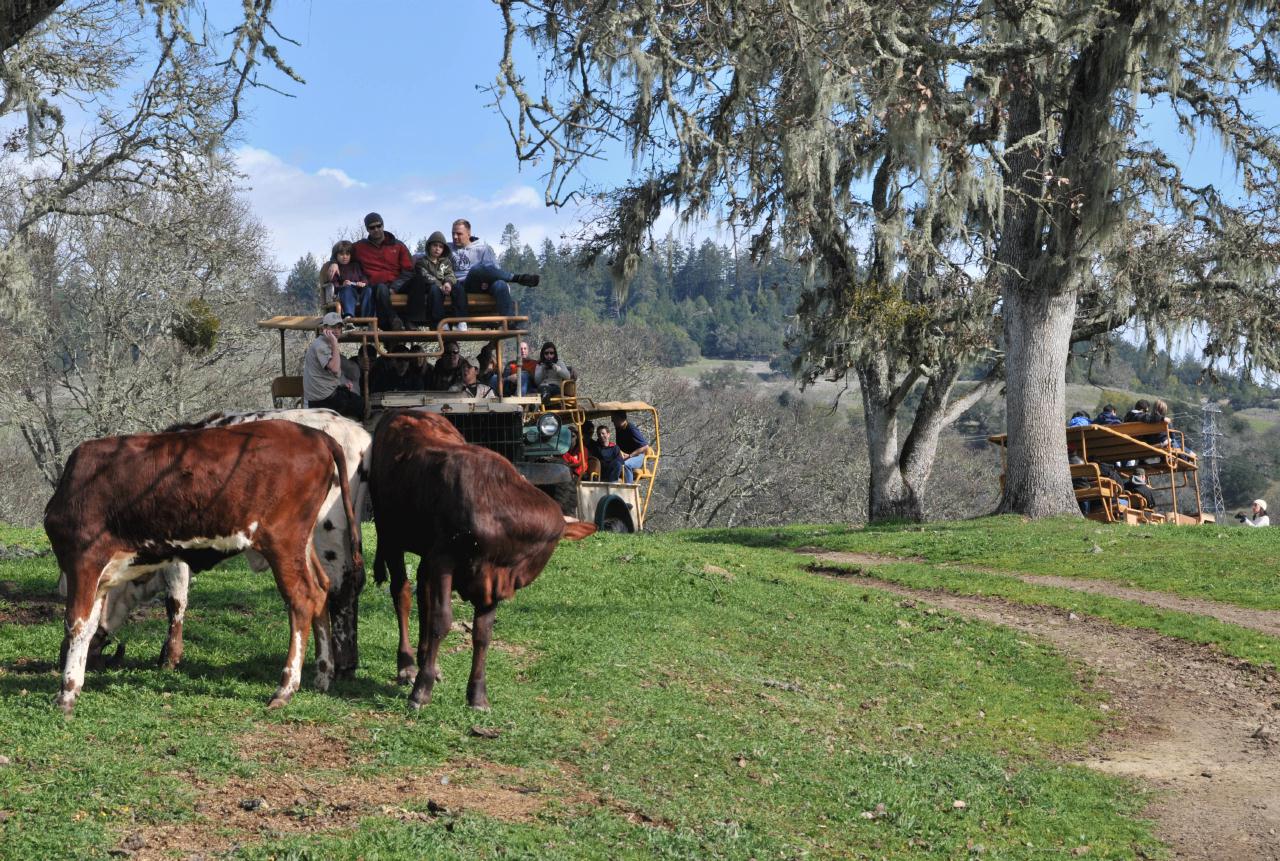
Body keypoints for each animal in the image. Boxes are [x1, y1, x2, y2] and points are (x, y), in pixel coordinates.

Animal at [43, 422, 360, 711]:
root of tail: (315, 434)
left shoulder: (83, 559)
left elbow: (76, 622)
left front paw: (66, 692)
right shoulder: (103, 574)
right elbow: (89, 624)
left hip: (283, 541)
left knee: (302, 599)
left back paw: (285, 688)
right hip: (302, 544)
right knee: (321, 590)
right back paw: (322, 675)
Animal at [366, 411, 593, 706]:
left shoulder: (492, 580)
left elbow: (483, 632)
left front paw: (477, 694)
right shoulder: (444, 559)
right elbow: (441, 620)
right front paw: (421, 690)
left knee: (423, 594)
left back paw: (427, 660)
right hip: (390, 532)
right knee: (402, 593)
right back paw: (407, 665)